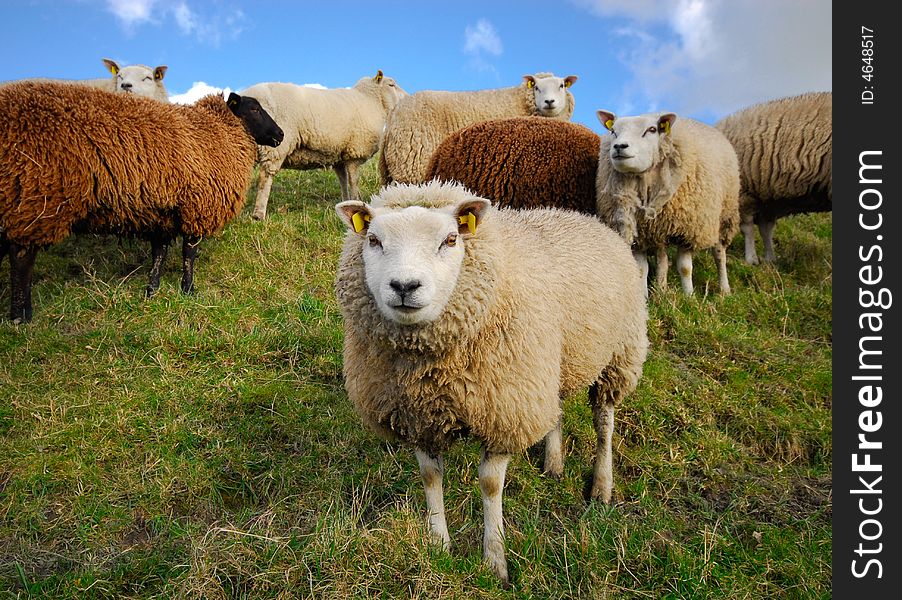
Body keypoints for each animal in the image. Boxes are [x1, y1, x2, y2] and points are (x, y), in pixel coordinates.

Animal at [242, 70, 408, 219]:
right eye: (391, 84)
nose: (407, 97)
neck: (371, 101)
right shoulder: (354, 153)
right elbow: (353, 181)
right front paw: (356, 200)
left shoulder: (340, 156)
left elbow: (343, 181)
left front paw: (345, 201)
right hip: (274, 145)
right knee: (265, 177)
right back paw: (259, 214)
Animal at [336, 180, 648, 584]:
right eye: (373, 240)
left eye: (451, 239)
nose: (405, 286)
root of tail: (584, 218)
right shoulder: (418, 413)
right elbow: (430, 476)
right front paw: (438, 545)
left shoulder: (504, 408)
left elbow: (489, 484)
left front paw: (495, 560)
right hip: (548, 365)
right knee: (556, 408)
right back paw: (554, 462)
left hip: (618, 355)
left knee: (604, 423)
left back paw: (601, 485)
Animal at [592, 109, 740, 296]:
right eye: (613, 131)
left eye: (652, 129)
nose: (619, 146)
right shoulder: (641, 233)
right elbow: (641, 269)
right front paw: (644, 296)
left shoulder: (688, 229)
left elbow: (685, 268)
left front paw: (689, 296)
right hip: (660, 227)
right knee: (662, 257)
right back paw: (661, 288)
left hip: (725, 214)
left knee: (719, 253)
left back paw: (724, 289)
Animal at [716, 91, 836, 262]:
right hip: (744, 192)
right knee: (748, 227)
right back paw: (752, 259)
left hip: (767, 198)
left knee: (766, 228)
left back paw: (770, 259)